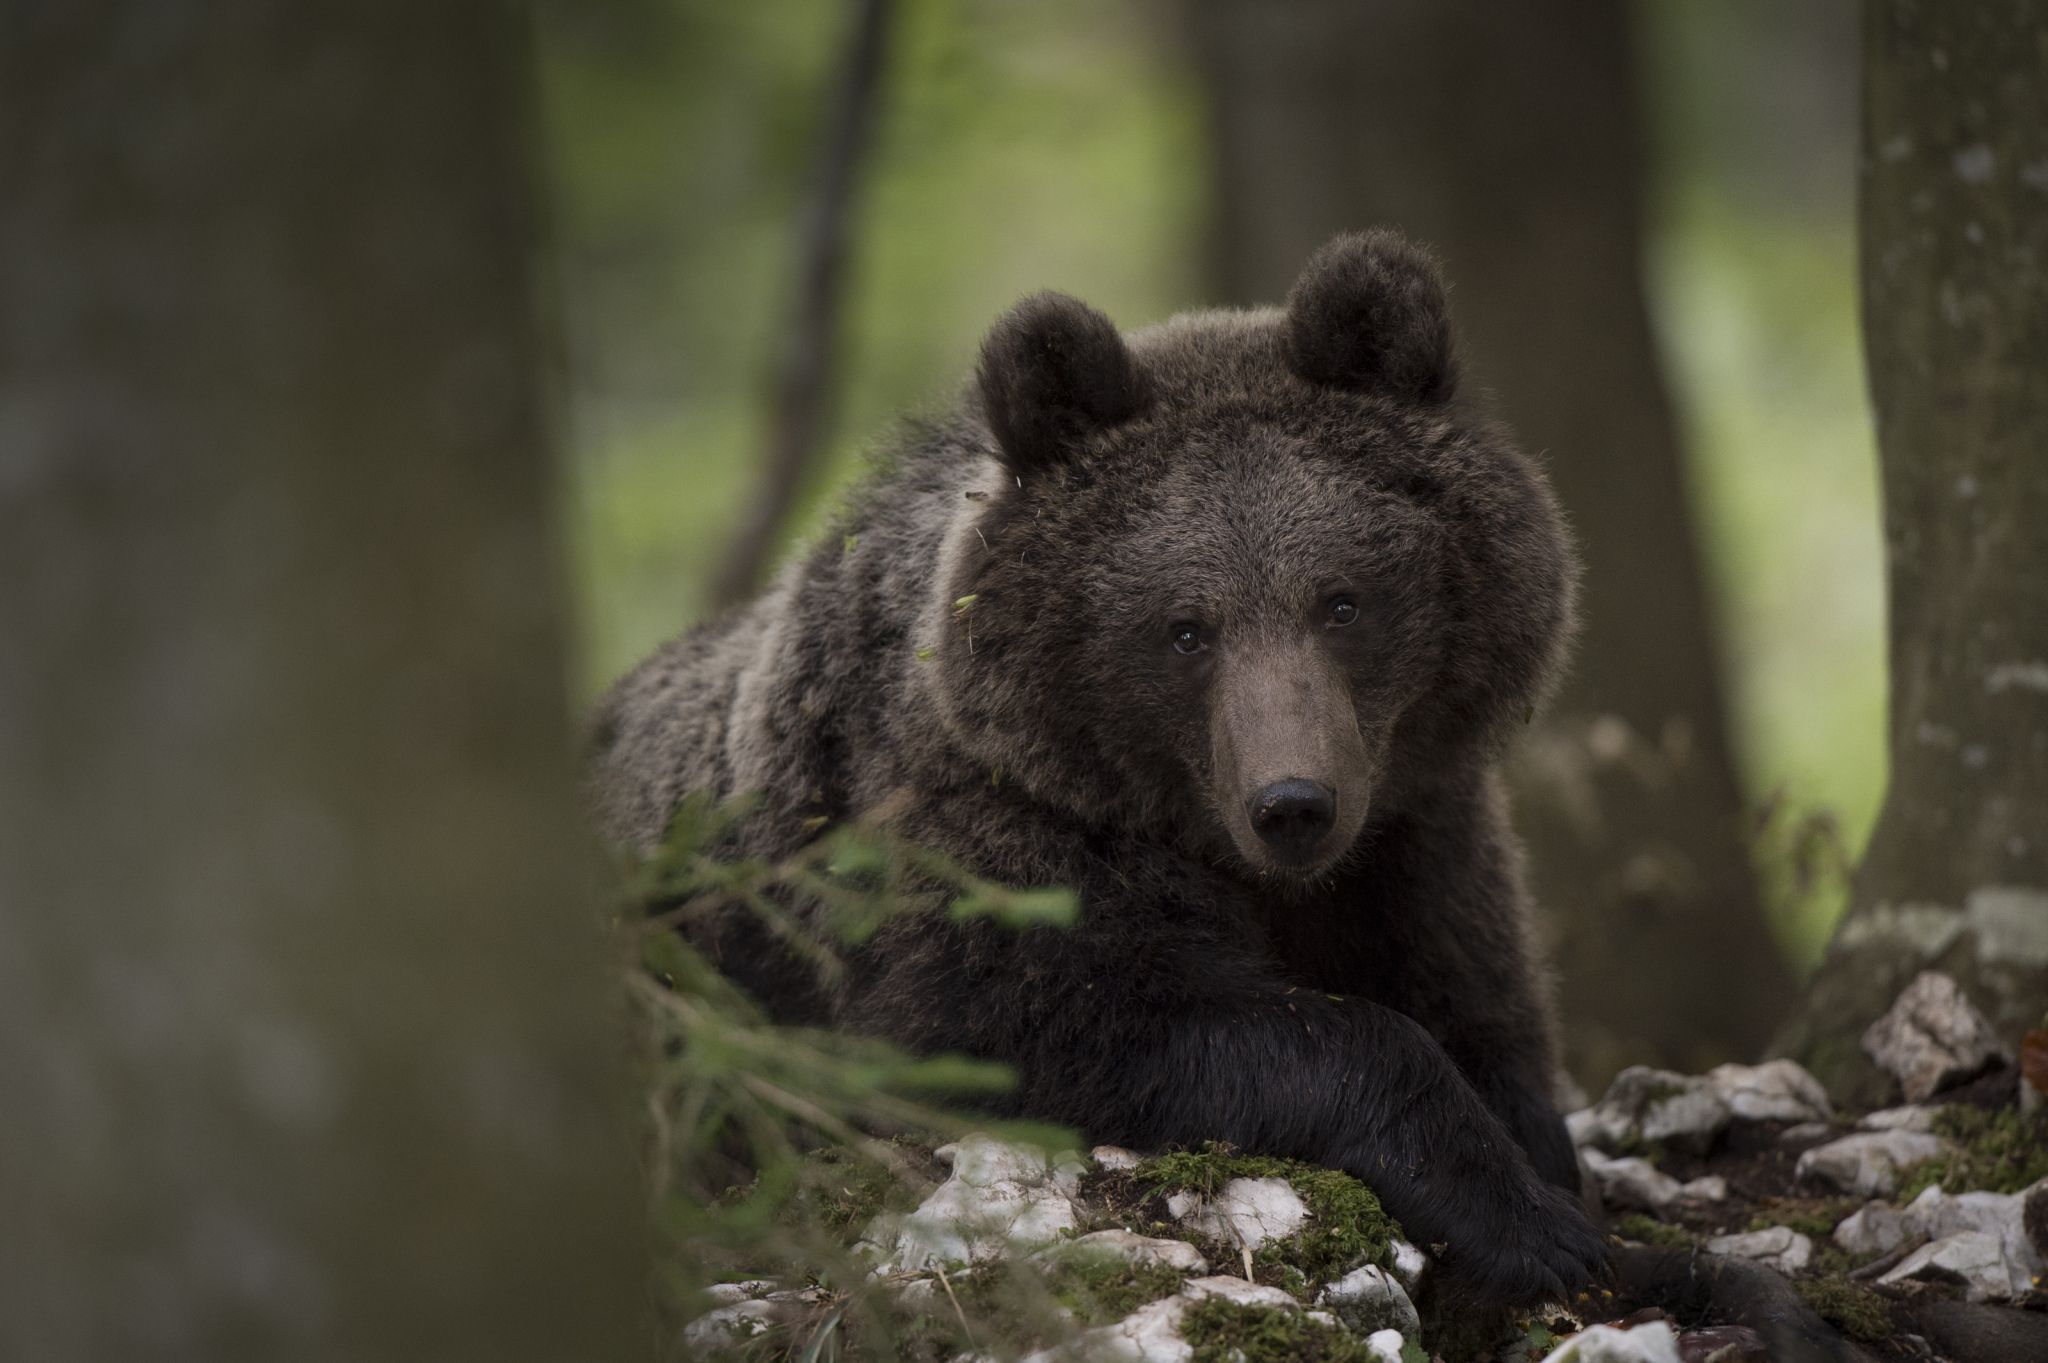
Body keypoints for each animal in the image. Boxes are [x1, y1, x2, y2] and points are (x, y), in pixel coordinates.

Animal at [591, 230, 1606, 1304]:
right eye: (1186, 627)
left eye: (1342, 601)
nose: (1292, 803)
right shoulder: (979, 845)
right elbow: (1069, 1023)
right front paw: (1529, 1224)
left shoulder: (1419, 832)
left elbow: (1480, 1002)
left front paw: (1548, 1169)